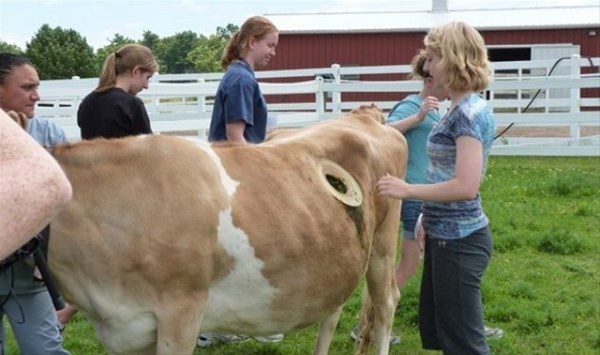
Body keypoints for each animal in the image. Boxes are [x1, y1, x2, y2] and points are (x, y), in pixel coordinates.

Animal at [49, 105, 410, 355]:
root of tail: (362, 115)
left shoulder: (182, 313)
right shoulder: (126, 329)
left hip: (384, 241)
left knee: (386, 303)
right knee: (332, 310)